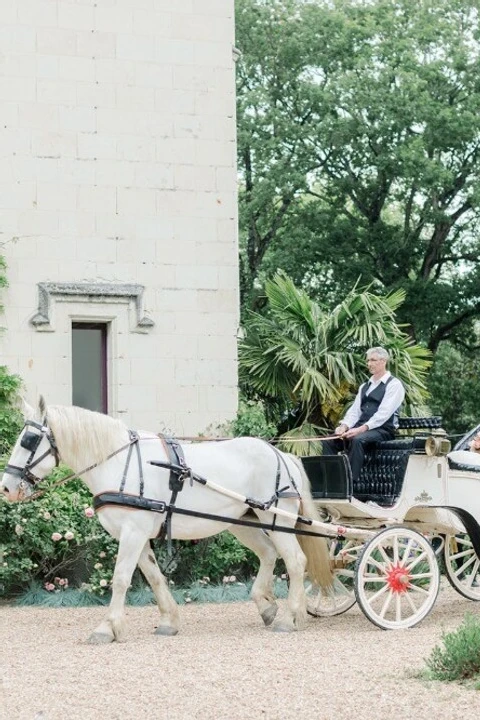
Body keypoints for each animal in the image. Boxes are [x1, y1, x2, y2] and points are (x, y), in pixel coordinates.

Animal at [1, 400, 332, 640]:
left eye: (29, 439)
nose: (6, 487)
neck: (118, 463)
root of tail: (282, 455)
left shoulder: (133, 532)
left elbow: (121, 578)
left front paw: (107, 627)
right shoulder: (136, 535)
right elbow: (154, 576)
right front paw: (168, 621)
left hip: (275, 518)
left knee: (295, 561)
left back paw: (290, 617)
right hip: (243, 522)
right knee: (269, 554)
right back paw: (268, 607)